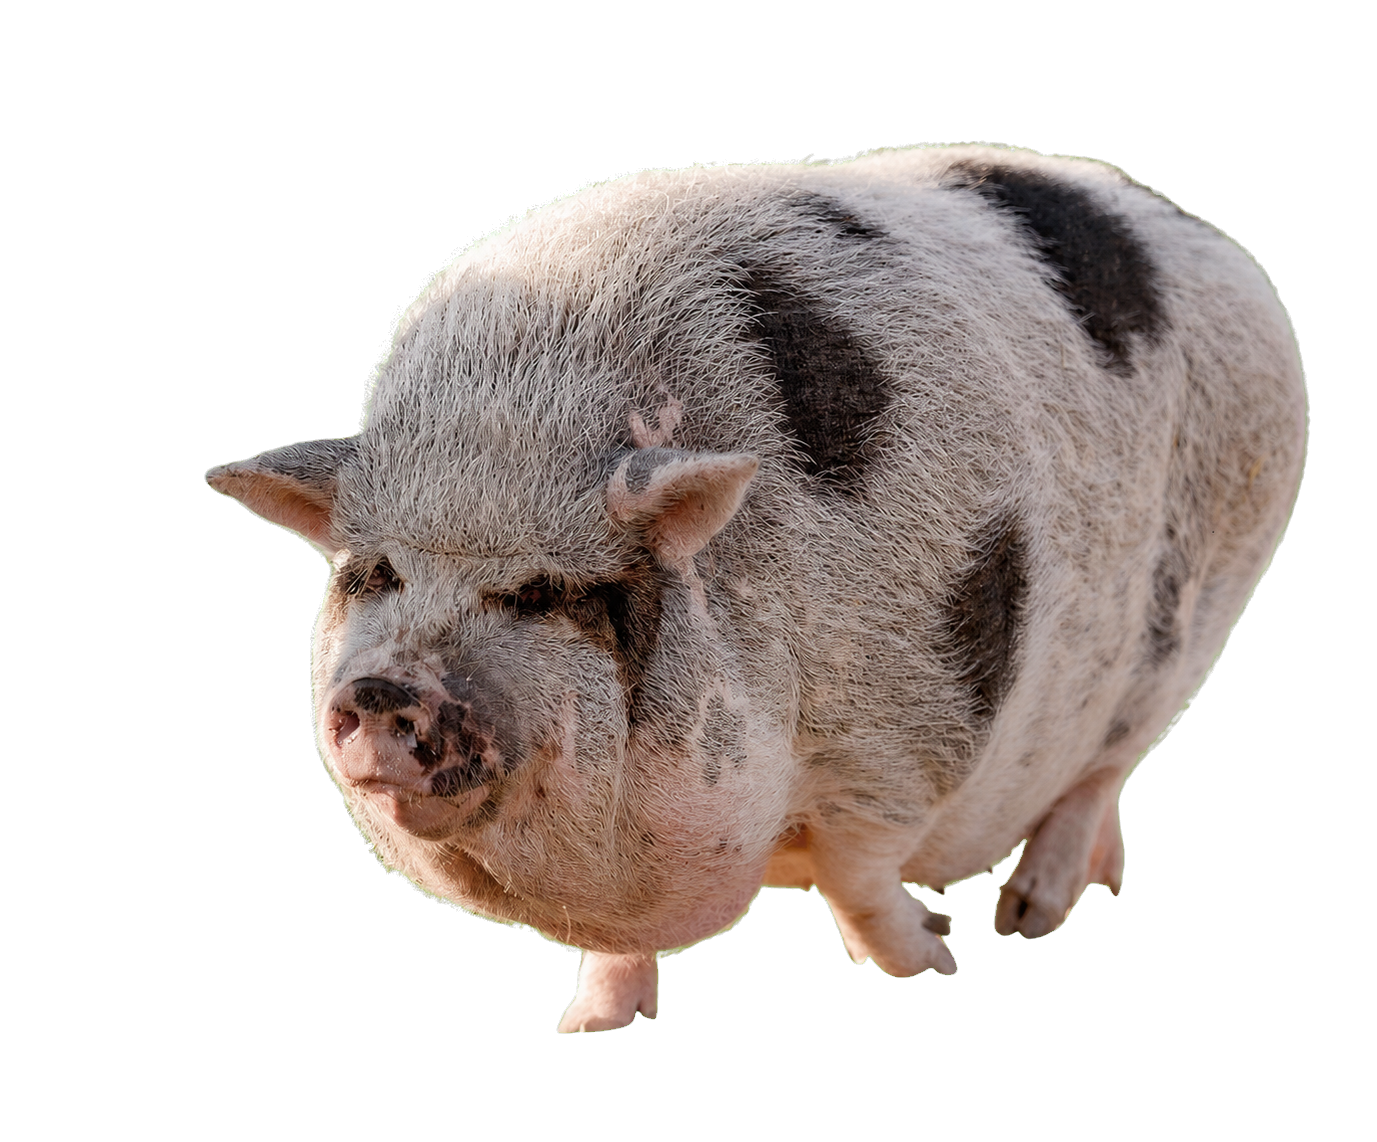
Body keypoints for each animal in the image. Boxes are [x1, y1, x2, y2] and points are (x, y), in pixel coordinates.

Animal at [206, 144, 1306, 1032]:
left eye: (544, 589)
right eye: (378, 573)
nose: (384, 690)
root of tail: (1211, 239)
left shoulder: (909, 729)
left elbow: (861, 874)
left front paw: (935, 957)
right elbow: (622, 944)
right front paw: (590, 1025)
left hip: (1211, 592)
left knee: (1102, 769)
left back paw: (1029, 917)